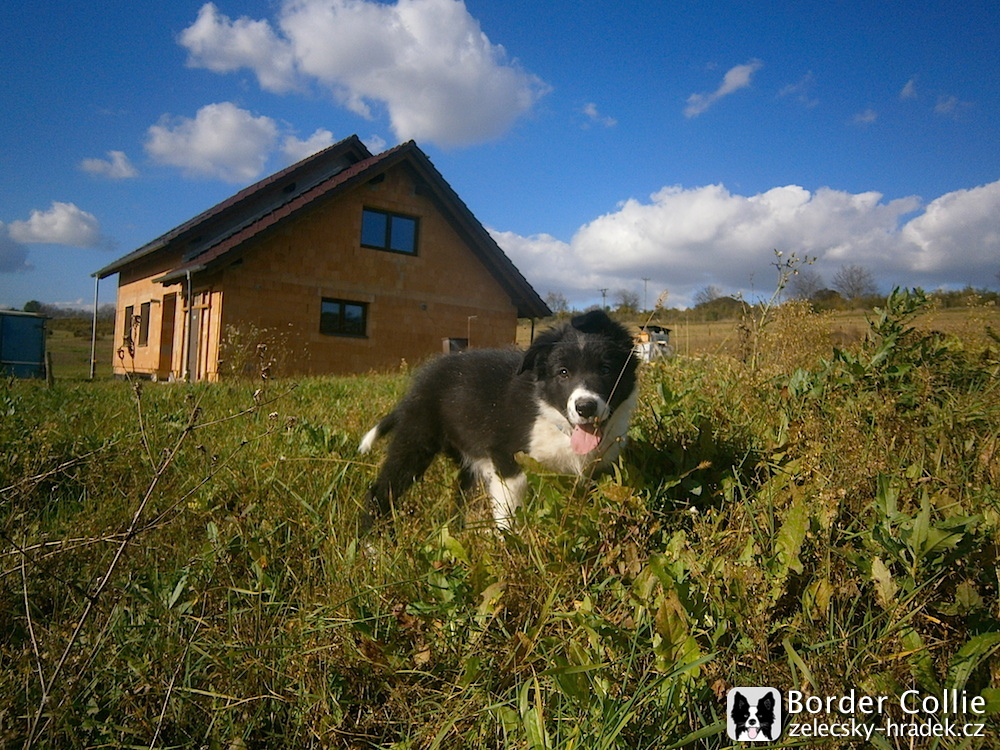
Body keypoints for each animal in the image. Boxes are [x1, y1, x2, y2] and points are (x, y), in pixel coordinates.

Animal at [362, 308, 640, 532]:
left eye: (605, 369)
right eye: (563, 373)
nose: (585, 407)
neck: (555, 421)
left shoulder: (595, 470)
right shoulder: (506, 459)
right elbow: (509, 513)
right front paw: (509, 548)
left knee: (461, 493)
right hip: (416, 439)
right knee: (382, 490)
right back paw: (372, 546)